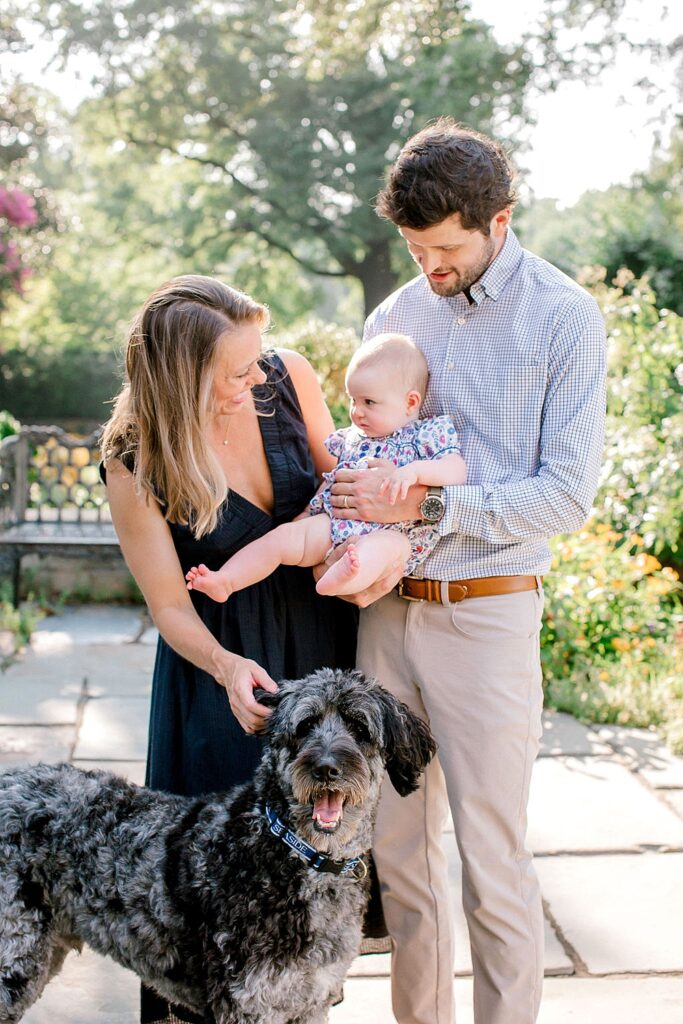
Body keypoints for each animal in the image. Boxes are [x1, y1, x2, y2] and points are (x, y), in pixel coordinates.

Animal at [0, 667, 436, 1019]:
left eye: (359, 728)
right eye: (304, 726)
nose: (326, 768)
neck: (295, 852)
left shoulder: (310, 1000)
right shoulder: (248, 1002)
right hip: (14, 958)